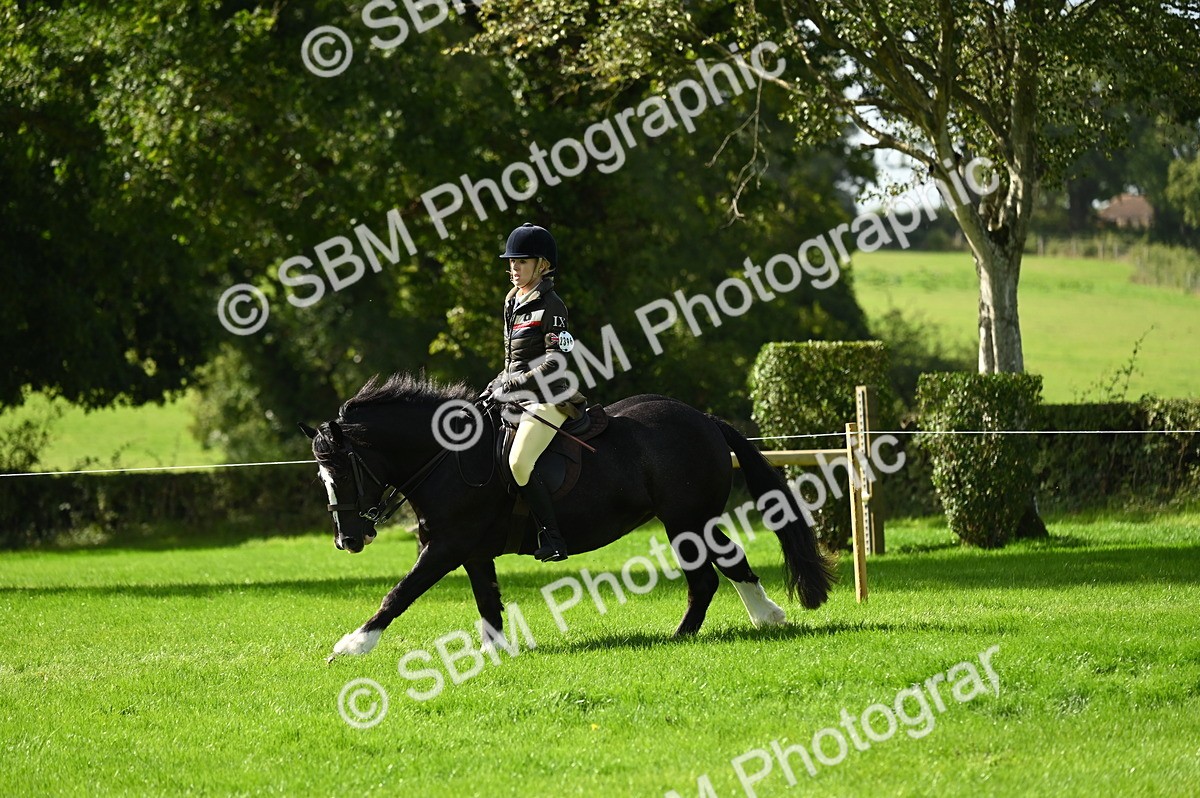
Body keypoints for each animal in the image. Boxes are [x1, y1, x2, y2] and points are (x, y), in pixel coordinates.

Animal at [301, 373, 837, 657]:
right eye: (321, 475)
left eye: (343, 471)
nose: (348, 540)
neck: (447, 457)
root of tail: (703, 419)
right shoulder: (472, 552)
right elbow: (487, 603)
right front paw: (497, 653)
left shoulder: (445, 548)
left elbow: (399, 594)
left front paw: (352, 646)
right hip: (685, 521)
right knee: (710, 575)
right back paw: (696, 632)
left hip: (688, 519)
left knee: (723, 566)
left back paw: (762, 618)